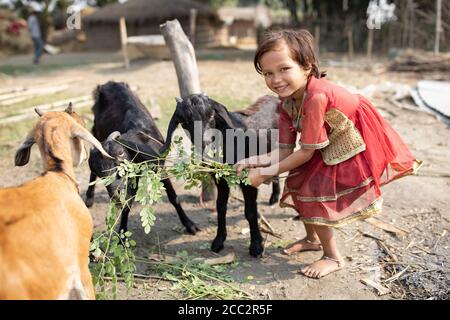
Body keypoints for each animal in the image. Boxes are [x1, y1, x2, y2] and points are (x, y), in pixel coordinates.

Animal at [85, 81, 198, 234]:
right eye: (102, 175)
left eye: (120, 161)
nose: (116, 196)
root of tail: (109, 83)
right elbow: (127, 204)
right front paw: (122, 234)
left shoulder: (159, 169)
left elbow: (174, 197)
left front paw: (190, 224)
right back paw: (89, 198)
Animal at [160, 93, 280, 258]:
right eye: (185, 122)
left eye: (211, 115)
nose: (205, 141)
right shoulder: (220, 180)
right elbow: (221, 207)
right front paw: (218, 241)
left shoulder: (247, 178)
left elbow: (250, 212)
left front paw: (256, 246)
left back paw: (275, 197)